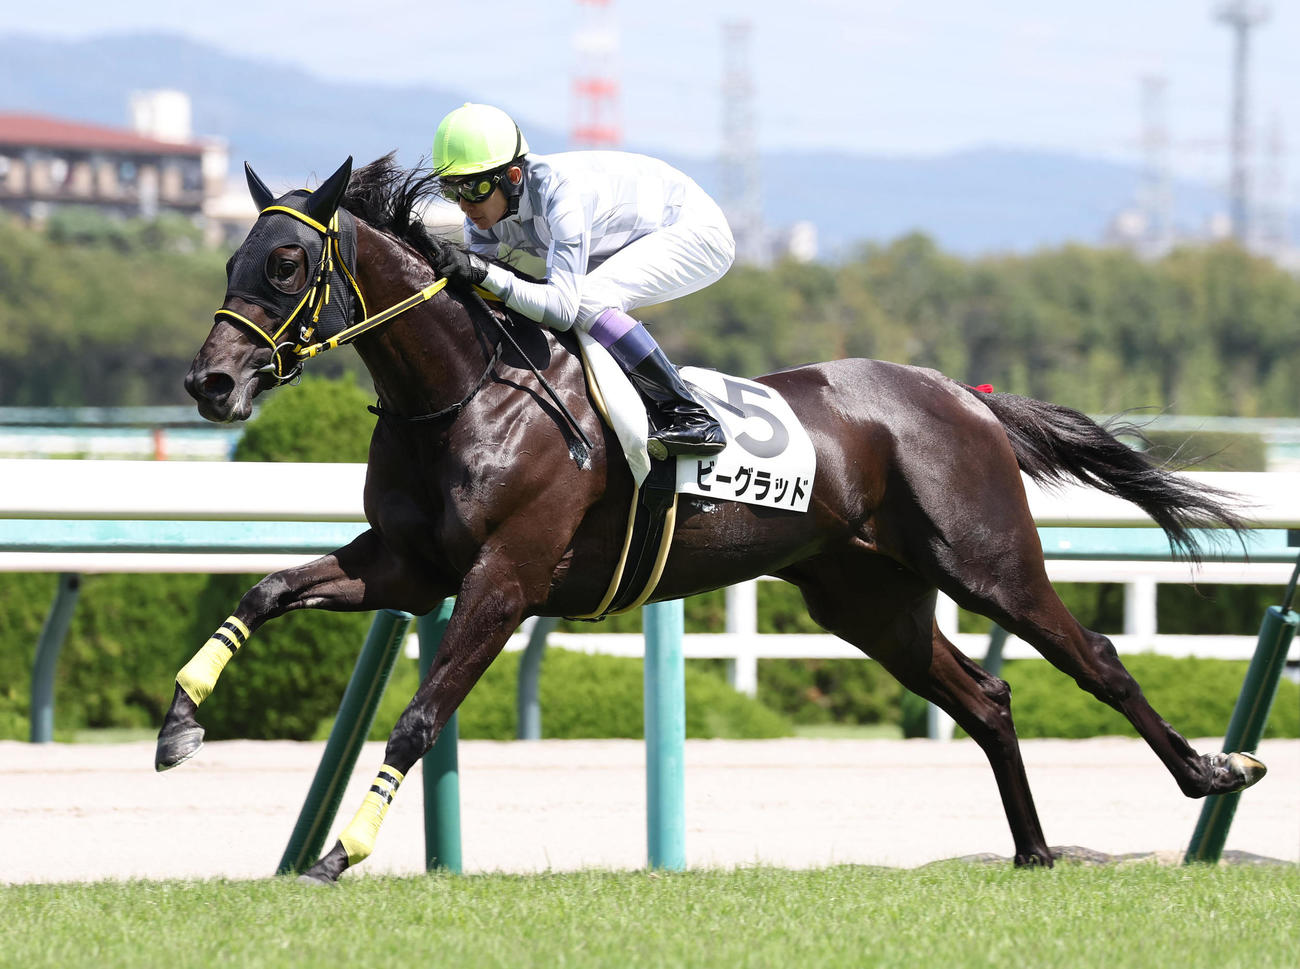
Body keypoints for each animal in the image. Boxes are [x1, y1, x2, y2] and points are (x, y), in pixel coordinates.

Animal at [160, 154, 1266, 884]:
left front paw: (340, 850)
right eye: (232, 259)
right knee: (986, 699)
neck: (467, 395)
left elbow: (421, 714)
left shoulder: (503, 581)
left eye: (287, 268)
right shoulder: (406, 566)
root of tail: (964, 394)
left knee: (1098, 660)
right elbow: (267, 589)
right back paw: (1034, 849)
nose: (211, 383)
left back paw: (1211, 770)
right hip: (869, 602)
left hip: (989, 563)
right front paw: (181, 722)